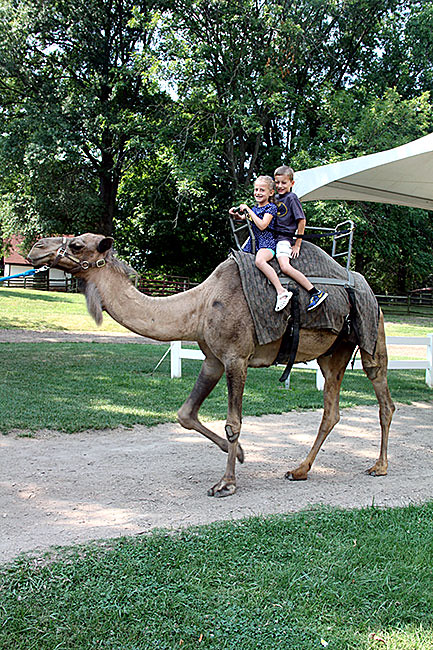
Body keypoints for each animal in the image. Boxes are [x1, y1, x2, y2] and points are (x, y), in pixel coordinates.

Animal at [27, 233, 395, 497]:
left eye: (77, 244)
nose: (36, 247)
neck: (198, 307)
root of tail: (369, 290)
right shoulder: (213, 359)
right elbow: (185, 414)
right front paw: (243, 455)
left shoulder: (236, 357)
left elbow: (233, 422)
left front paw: (226, 483)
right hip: (333, 352)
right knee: (331, 409)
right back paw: (299, 470)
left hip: (371, 334)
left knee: (384, 399)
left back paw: (379, 467)